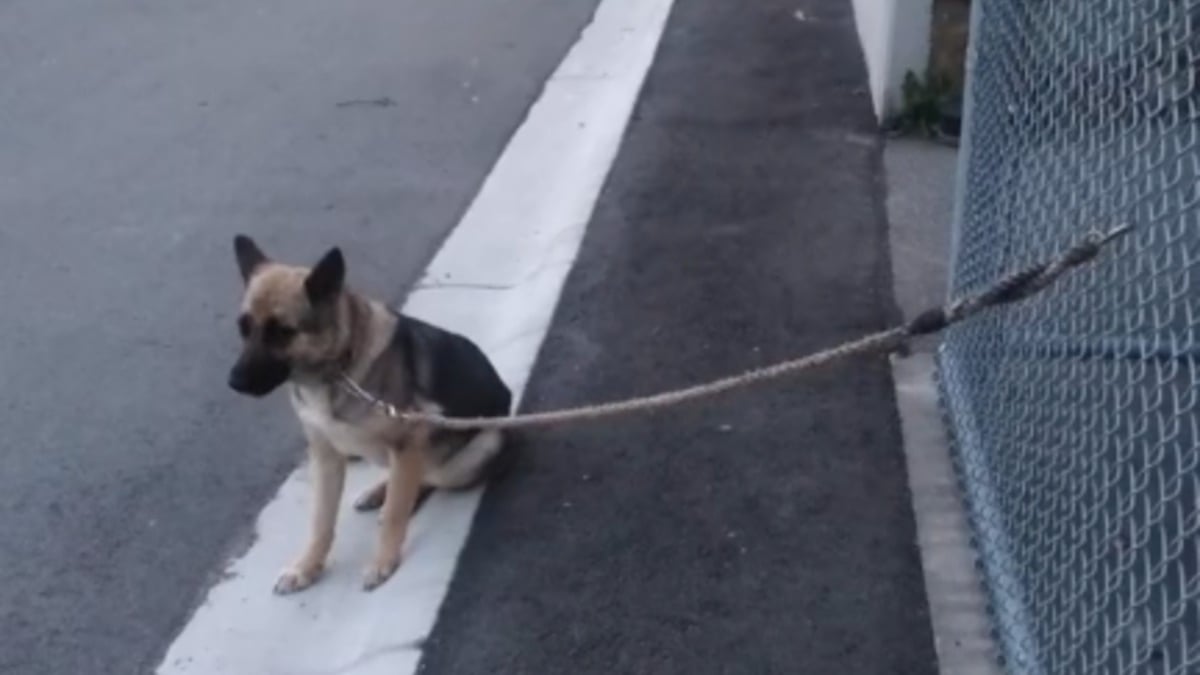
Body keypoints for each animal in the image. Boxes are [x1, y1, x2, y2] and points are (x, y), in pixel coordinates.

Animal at [225, 234, 511, 590]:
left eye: (283, 331)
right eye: (244, 328)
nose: (233, 382)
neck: (337, 370)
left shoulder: (408, 442)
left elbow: (396, 513)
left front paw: (383, 561)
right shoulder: (326, 456)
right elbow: (321, 521)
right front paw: (307, 566)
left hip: (481, 447)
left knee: (429, 477)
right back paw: (378, 492)